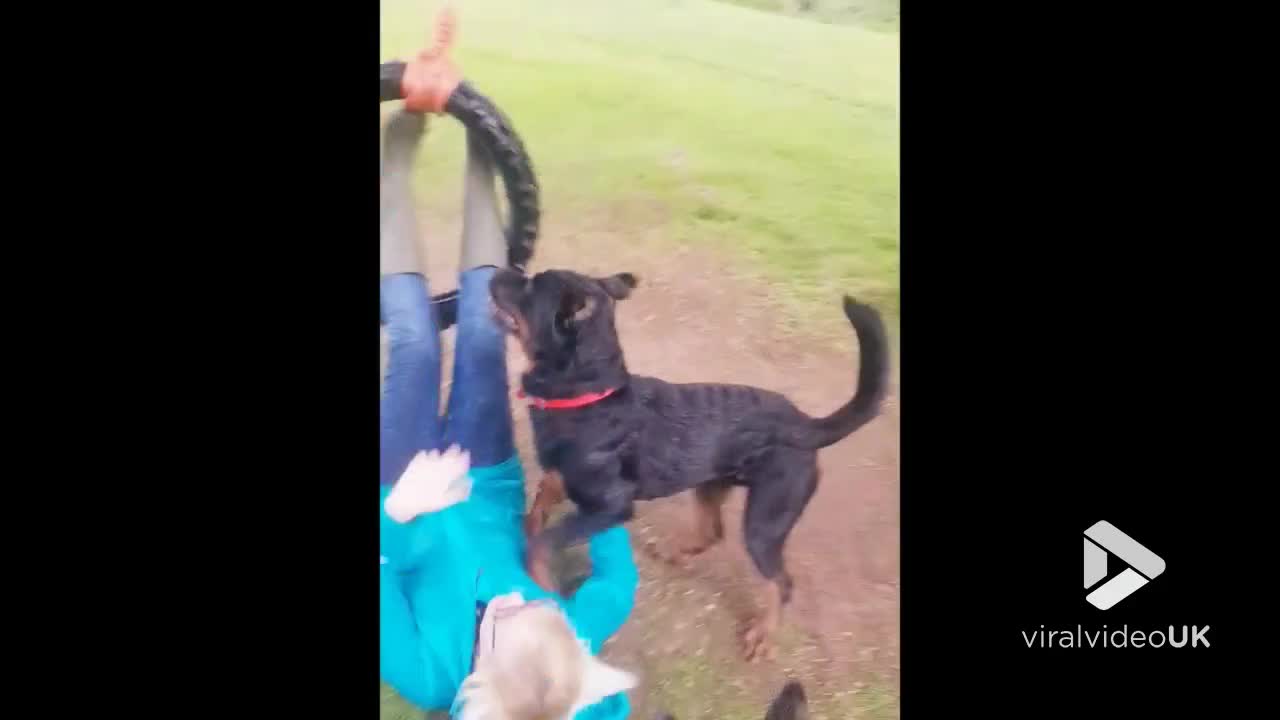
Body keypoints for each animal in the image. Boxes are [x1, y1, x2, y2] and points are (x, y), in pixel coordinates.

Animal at [488, 267, 890, 655]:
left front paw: (540, 584)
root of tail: (807, 424)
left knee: (781, 582)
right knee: (712, 531)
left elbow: (543, 542)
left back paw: (762, 634)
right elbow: (540, 505)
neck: (588, 394)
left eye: (530, 287)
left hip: (765, 520)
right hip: (711, 484)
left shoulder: (612, 506)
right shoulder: (567, 480)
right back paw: (674, 552)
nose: (494, 272)